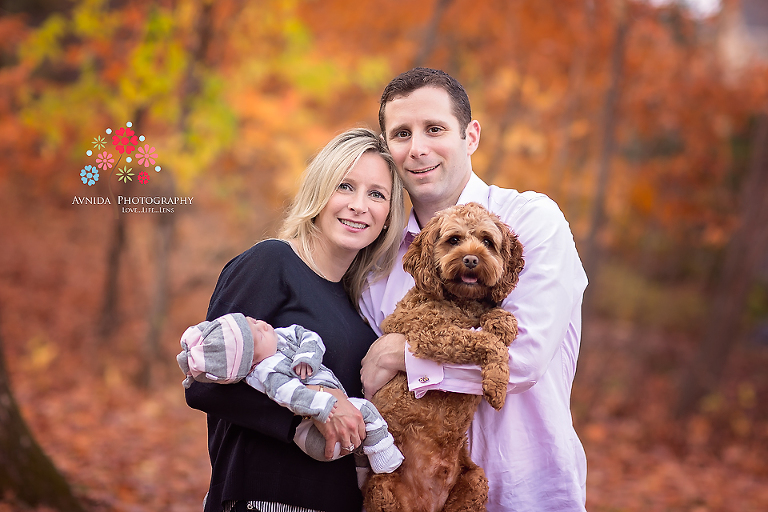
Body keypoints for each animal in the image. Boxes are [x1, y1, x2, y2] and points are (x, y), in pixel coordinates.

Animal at [364, 202, 524, 512]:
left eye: (487, 241)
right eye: (454, 240)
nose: (471, 259)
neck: (461, 300)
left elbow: (502, 317)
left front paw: (502, 325)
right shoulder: (429, 332)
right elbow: (486, 341)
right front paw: (497, 385)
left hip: (475, 482)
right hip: (383, 490)